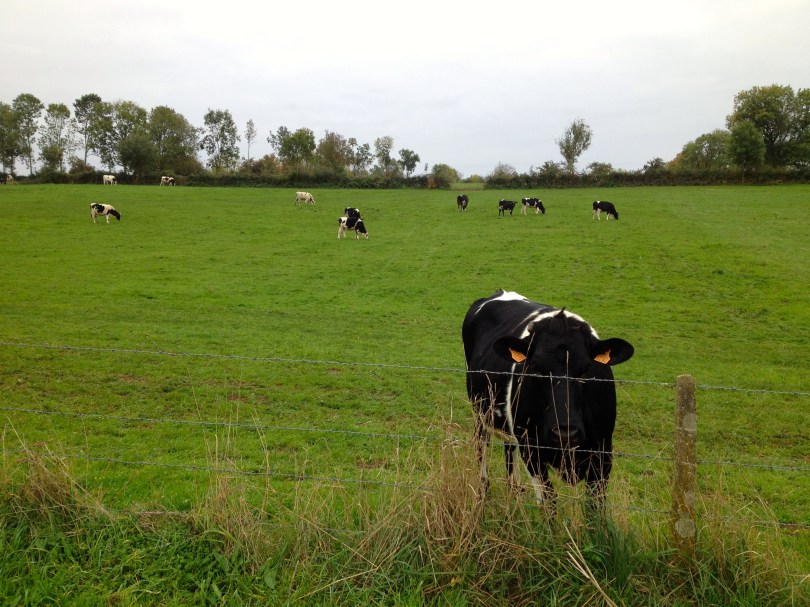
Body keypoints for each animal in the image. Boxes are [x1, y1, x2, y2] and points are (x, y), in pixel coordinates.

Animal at [462, 289, 634, 508]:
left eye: (586, 370)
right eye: (536, 369)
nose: (564, 433)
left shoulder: (603, 450)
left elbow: (595, 504)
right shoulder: (531, 448)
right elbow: (549, 500)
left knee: (509, 453)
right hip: (480, 413)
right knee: (482, 450)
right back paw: (482, 495)